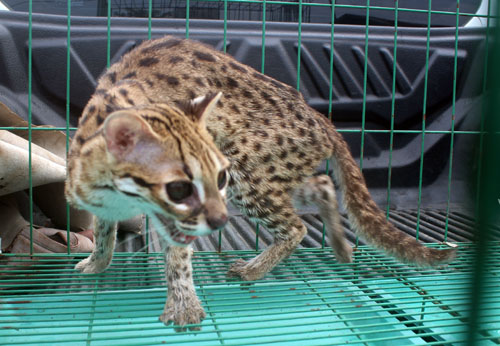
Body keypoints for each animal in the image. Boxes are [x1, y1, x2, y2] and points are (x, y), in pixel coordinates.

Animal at [66, 34, 458, 330]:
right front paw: (97, 264)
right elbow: (104, 233)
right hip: (269, 173)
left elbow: (177, 259)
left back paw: (255, 268)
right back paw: (338, 244)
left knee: (297, 226)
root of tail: (319, 116)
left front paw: (183, 304)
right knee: (322, 186)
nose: (217, 218)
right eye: (179, 186)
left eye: (217, 176)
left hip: (248, 170)